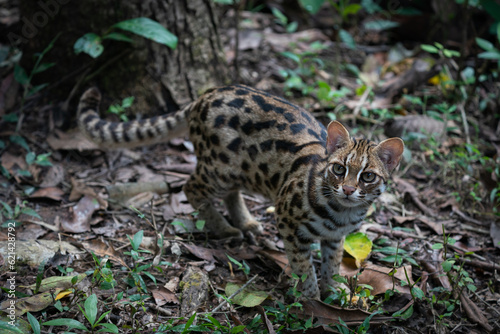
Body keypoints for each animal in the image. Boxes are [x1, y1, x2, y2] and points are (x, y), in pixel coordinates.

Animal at [79, 85, 406, 298]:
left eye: (367, 176)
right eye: (339, 169)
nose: (348, 189)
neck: (342, 212)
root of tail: (205, 96)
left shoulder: (335, 237)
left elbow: (332, 263)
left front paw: (333, 292)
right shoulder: (288, 223)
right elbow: (303, 266)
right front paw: (312, 298)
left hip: (240, 170)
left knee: (230, 192)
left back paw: (245, 221)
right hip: (219, 168)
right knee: (191, 187)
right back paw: (224, 228)